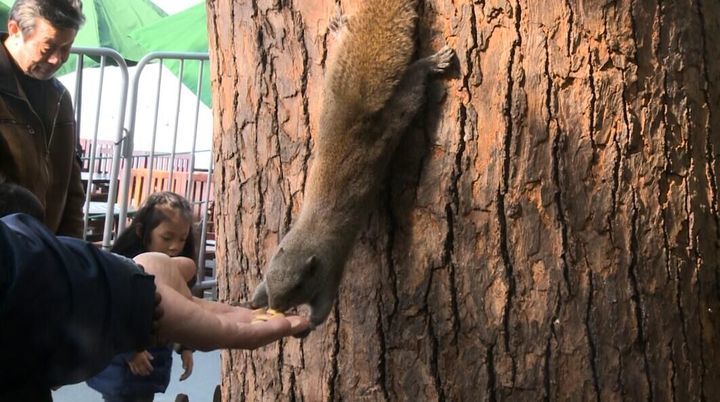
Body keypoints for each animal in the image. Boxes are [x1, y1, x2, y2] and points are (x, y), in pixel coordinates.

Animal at [250, 0, 452, 328]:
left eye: (299, 284)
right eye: (269, 274)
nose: (277, 305)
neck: (307, 239)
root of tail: (355, 114)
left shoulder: (330, 270)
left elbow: (323, 307)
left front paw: (307, 325)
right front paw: (256, 298)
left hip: (400, 111)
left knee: (413, 86)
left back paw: (431, 64)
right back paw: (339, 28)